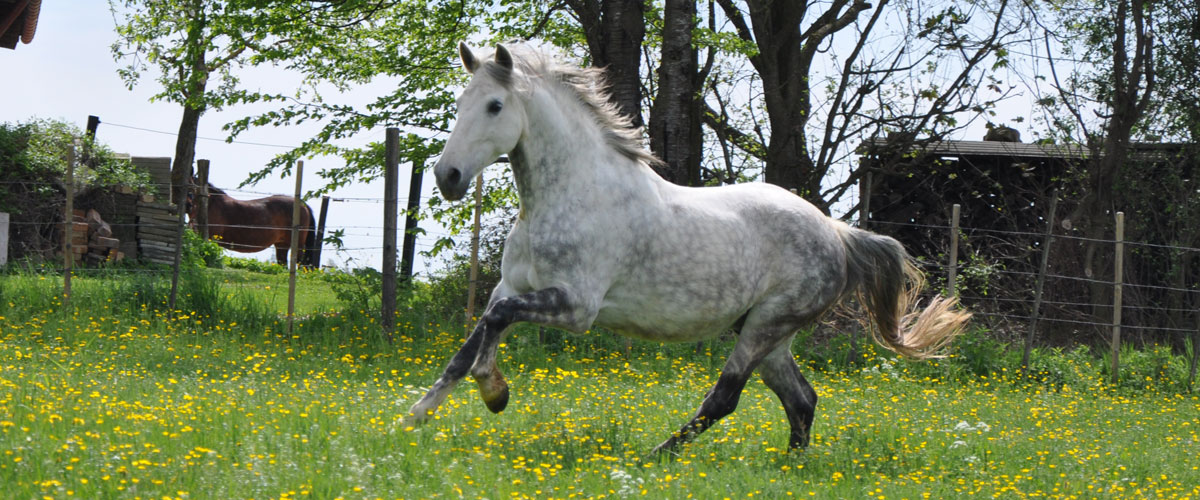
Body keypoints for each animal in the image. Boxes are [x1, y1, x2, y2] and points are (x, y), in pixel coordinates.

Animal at [187, 179, 319, 264]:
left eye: (192, 185)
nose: (188, 205)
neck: (210, 203)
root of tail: (303, 205)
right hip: (282, 245)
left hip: (298, 244)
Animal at [408, 42, 969, 450]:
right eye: (460, 104)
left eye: (495, 106)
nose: (447, 177)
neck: (573, 193)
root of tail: (836, 231)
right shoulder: (510, 285)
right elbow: (473, 337)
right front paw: (416, 416)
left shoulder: (576, 308)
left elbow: (494, 323)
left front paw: (494, 393)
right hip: (770, 335)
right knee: (802, 399)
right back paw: (792, 465)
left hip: (767, 326)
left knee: (725, 398)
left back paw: (657, 456)